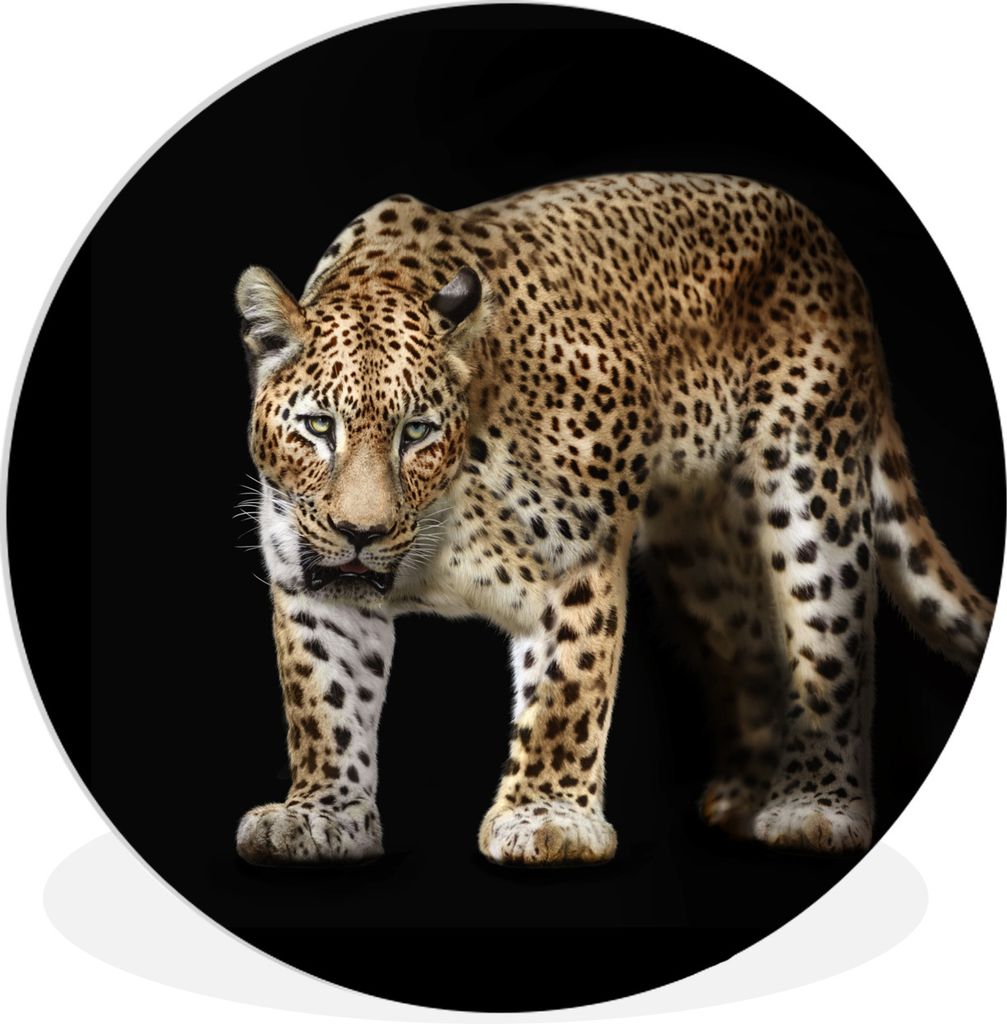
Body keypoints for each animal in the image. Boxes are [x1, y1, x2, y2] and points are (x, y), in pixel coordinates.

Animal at [233, 172, 995, 867]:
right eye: (318, 427)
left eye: (416, 431)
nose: (361, 532)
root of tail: (829, 248)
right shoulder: (311, 584)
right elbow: (324, 701)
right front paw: (321, 815)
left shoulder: (580, 549)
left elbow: (568, 683)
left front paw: (548, 817)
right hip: (702, 554)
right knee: (753, 644)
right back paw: (744, 798)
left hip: (811, 482)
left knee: (830, 642)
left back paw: (814, 806)